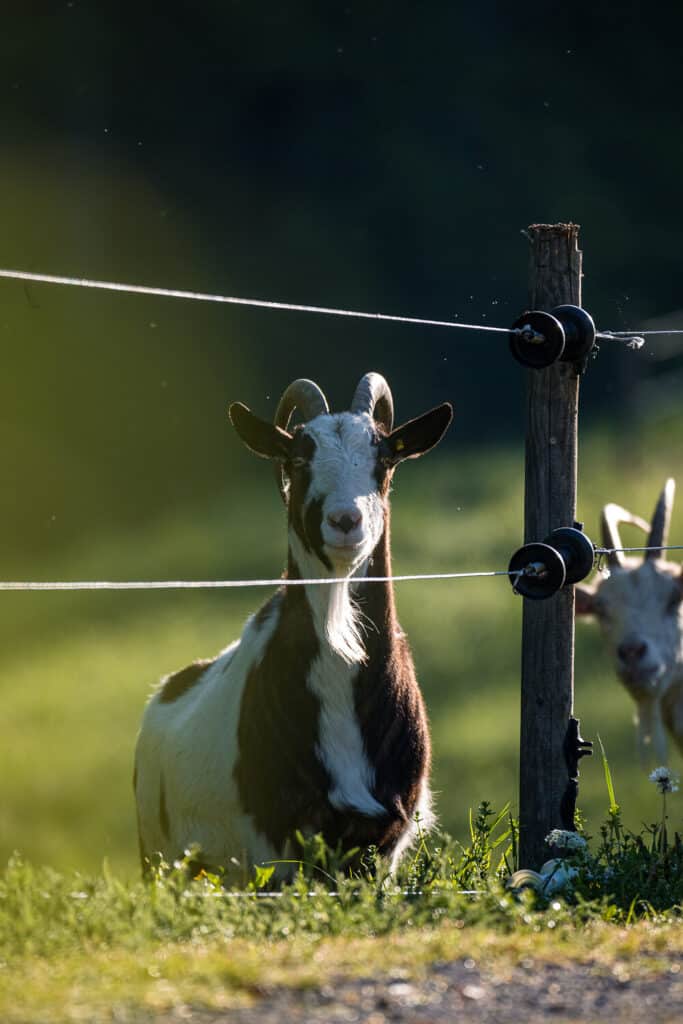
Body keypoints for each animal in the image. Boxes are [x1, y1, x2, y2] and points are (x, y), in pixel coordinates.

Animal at [134, 373, 453, 879]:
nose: (345, 521)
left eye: (384, 459)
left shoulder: (384, 842)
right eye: (299, 460)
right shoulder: (274, 840)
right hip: (161, 854)